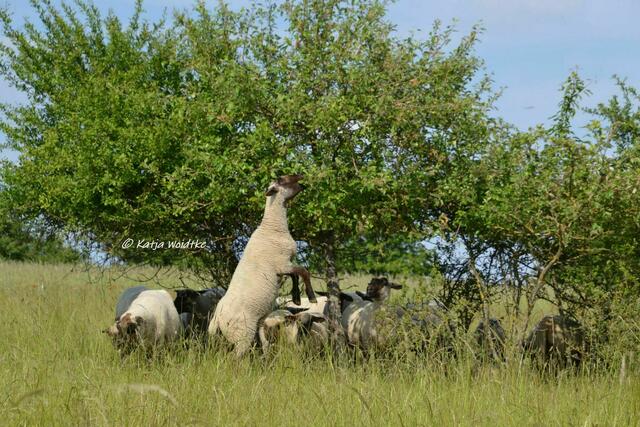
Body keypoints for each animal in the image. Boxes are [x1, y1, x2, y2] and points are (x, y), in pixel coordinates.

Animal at [209, 174, 316, 356]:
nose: (300, 175)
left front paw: (296, 298)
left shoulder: (282, 266)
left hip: (255, 326)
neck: (272, 227)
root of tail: (217, 318)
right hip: (242, 334)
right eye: (283, 181)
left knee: (261, 345)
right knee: (235, 357)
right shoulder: (281, 263)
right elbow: (303, 271)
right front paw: (311, 296)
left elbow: (295, 275)